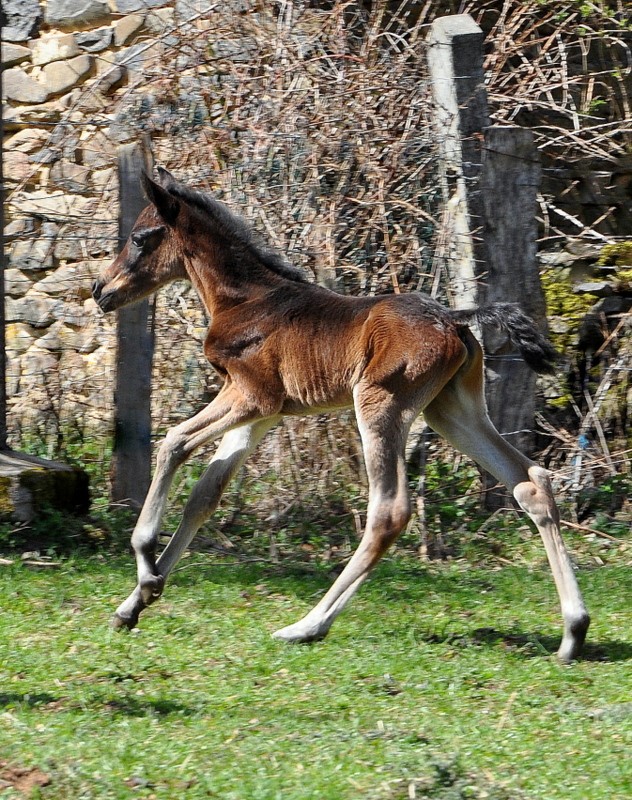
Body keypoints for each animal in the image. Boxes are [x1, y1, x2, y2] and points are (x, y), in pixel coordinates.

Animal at [91, 169, 592, 664]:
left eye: (139, 237)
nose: (100, 290)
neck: (246, 301)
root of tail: (454, 318)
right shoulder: (263, 413)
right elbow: (205, 494)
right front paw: (136, 602)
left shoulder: (251, 394)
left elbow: (172, 442)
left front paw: (146, 566)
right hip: (451, 410)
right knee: (531, 481)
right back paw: (573, 633)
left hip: (380, 401)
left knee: (389, 510)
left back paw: (308, 626)